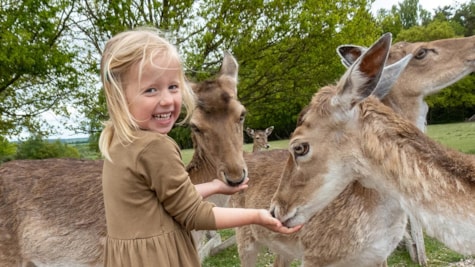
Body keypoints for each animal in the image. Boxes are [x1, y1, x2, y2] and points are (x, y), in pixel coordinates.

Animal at [230, 33, 475, 267]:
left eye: (299, 147)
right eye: (421, 52)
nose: (275, 210)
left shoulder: (378, 256)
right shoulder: (316, 254)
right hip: (245, 238)